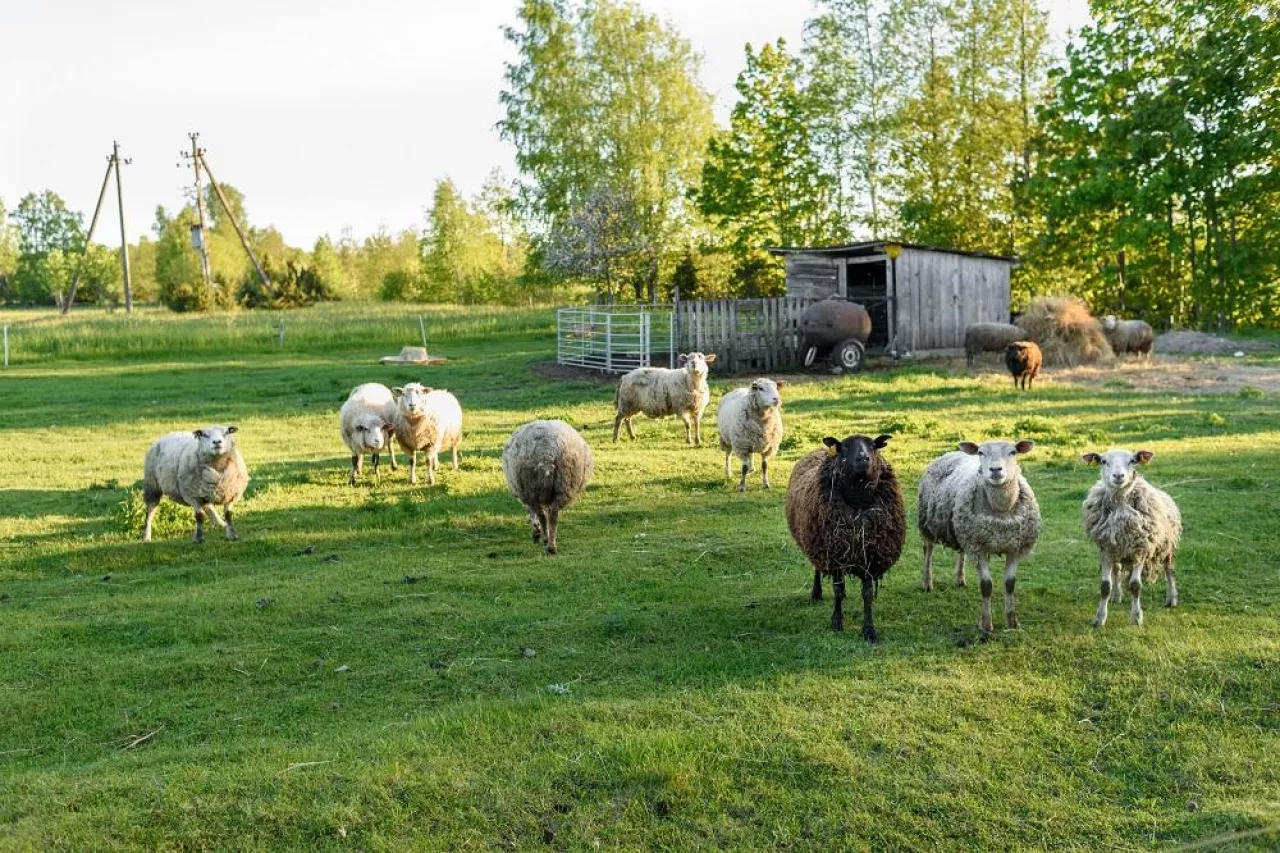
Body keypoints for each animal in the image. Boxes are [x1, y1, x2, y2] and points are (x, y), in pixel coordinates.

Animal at [502, 420, 594, 555]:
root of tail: (548, 453)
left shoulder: (525, 497)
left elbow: (533, 515)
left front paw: (536, 533)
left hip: (531, 489)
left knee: (543, 516)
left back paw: (546, 540)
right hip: (564, 485)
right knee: (553, 516)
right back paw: (551, 546)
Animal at [785, 434, 907, 642]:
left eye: (873, 446)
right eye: (845, 448)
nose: (863, 458)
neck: (858, 501)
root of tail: (820, 449)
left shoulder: (869, 557)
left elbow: (867, 594)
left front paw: (869, 630)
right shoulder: (835, 557)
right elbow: (837, 590)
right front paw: (837, 621)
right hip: (816, 543)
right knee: (817, 569)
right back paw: (816, 592)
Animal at [917, 439, 1041, 635]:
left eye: (1013, 452)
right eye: (981, 452)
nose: (995, 469)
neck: (1001, 511)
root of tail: (953, 452)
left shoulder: (1013, 547)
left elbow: (1010, 584)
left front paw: (1012, 622)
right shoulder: (979, 548)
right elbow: (986, 586)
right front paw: (986, 625)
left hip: (962, 528)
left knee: (961, 552)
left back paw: (960, 579)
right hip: (927, 522)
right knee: (928, 551)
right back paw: (927, 582)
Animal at [1081, 449, 1182, 627]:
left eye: (1132, 461)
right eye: (1103, 461)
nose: (1118, 476)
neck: (1121, 502)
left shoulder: (1139, 550)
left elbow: (1135, 586)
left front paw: (1136, 617)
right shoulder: (1106, 549)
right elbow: (1105, 586)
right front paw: (1100, 618)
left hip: (1167, 547)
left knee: (1170, 570)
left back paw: (1171, 599)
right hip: (1118, 550)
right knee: (1116, 570)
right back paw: (1116, 596)